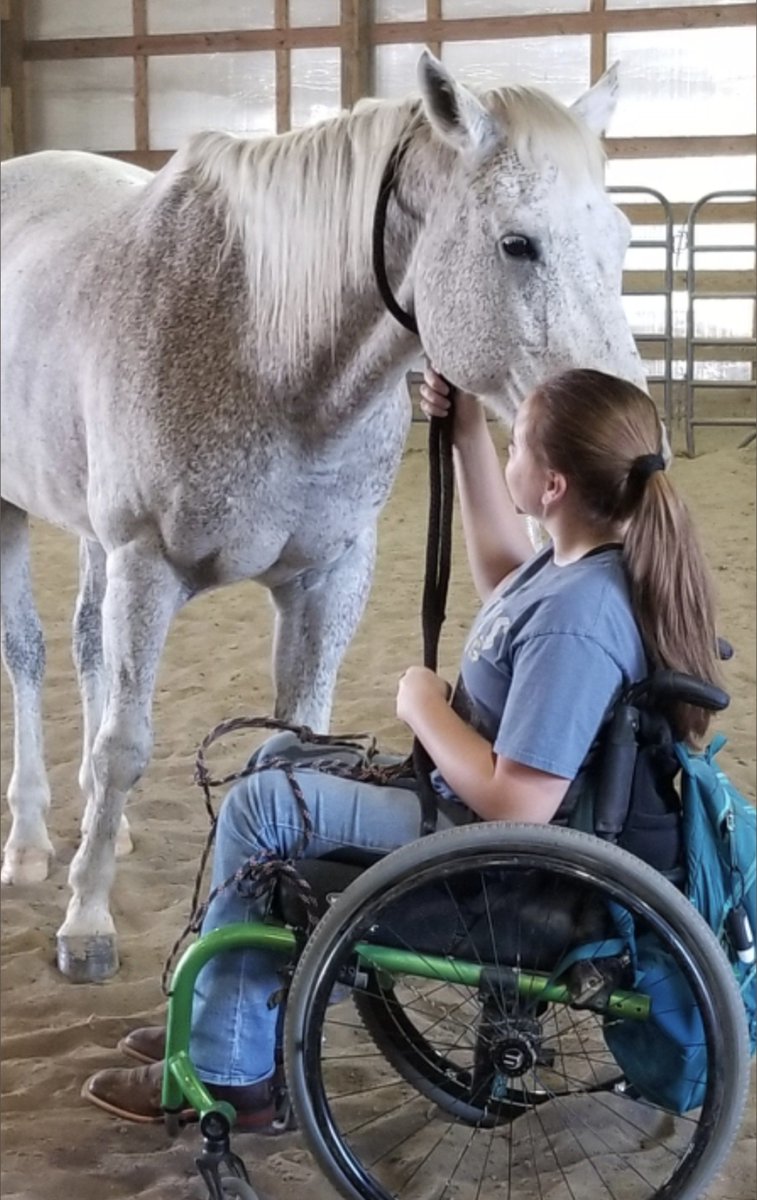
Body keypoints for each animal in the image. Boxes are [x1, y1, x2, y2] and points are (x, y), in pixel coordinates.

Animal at [0, 51, 645, 981]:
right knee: (30, 653)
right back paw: (28, 840)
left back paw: (102, 831)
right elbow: (124, 745)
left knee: (86, 645)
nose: (635, 450)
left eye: (623, 240)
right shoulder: (145, 563)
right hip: (18, 514)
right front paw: (86, 921)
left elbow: (293, 734)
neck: (259, 341)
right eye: (516, 243)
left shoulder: (326, 575)